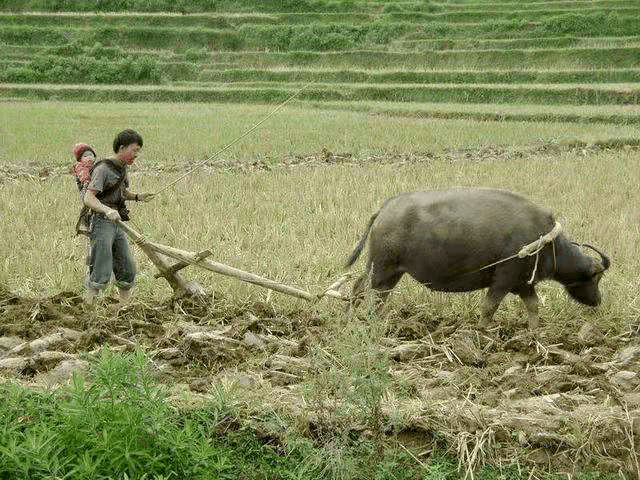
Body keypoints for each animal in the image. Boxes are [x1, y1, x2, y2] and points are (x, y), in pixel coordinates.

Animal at [344, 188, 608, 330]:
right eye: (596, 278)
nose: (598, 300)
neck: (543, 240)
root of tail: (385, 209)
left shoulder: (523, 284)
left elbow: (533, 307)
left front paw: (535, 333)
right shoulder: (503, 280)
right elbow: (488, 308)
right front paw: (481, 332)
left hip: (388, 271)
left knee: (363, 290)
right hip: (383, 268)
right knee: (367, 293)